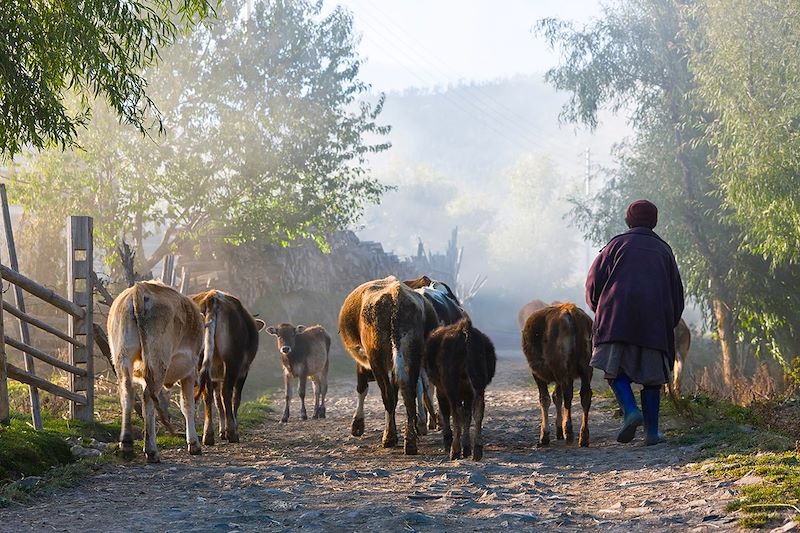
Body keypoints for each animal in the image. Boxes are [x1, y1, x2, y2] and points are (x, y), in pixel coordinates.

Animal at [108, 278, 205, 462]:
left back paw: (127, 444)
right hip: (158, 361)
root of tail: (140, 289)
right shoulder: (189, 373)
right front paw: (194, 443)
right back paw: (151, 450)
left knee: (128, 394)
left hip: (123, 356)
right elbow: (187, 405)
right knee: (148, 398)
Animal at [191, 288, 264, 442]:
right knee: (227, 392)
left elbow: (218, 402)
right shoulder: (243, 370)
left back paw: (208, 435)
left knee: (207, 395)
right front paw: (230, 428)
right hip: (232, 361)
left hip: (200, 362)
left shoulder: (215, 375)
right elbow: (235, 398)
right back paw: (232, 433)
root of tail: (212, 296)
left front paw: (221, 431)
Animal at [338, 274, 438, 454]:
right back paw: (410, 440)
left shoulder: (364, 362)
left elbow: (362, 388)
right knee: (408, 391)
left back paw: (389, 437)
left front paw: (357, 425)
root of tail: (395, 294)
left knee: (388, 395)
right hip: (413, 355)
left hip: (377, 358)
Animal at [422, 318, 496, 460]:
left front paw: (448, 442)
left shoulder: (442, 391)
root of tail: (465, 331)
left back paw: (455, 449)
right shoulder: (468, 394)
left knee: (456, 412)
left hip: (451, 385)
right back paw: (477, 449)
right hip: (478, 384)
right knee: (478, 411)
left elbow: (446, 413)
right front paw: (466, 447)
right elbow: (468, 415)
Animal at [520, 304, 592, 444]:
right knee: (585, 395)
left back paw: (568, 431)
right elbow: (557, 397)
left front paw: (544, 435)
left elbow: (545, 399)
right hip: (586, 366)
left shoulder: (537, 374)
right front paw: (558, 430)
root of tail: (569, 310)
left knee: (568, 394)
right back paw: (583, 436)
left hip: (562, 367)